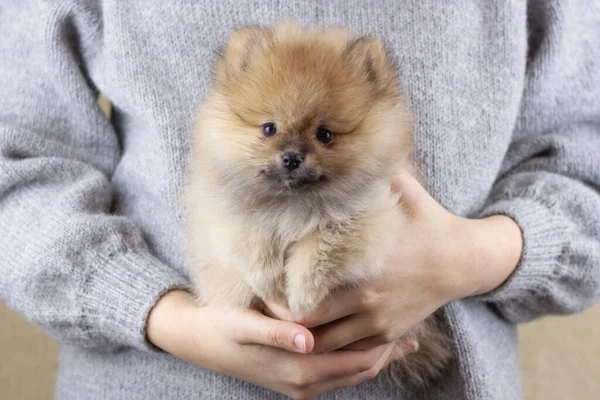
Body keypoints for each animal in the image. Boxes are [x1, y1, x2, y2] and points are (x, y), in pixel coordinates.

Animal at [183, 21, 450, 384]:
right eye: (269, 128)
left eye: (324, 134)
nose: (291, 157)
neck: (293, 203)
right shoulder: (226, 214)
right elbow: (253, 240)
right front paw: (270, 283)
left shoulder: (370, 215)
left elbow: (321, 246)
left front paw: (301, 294)